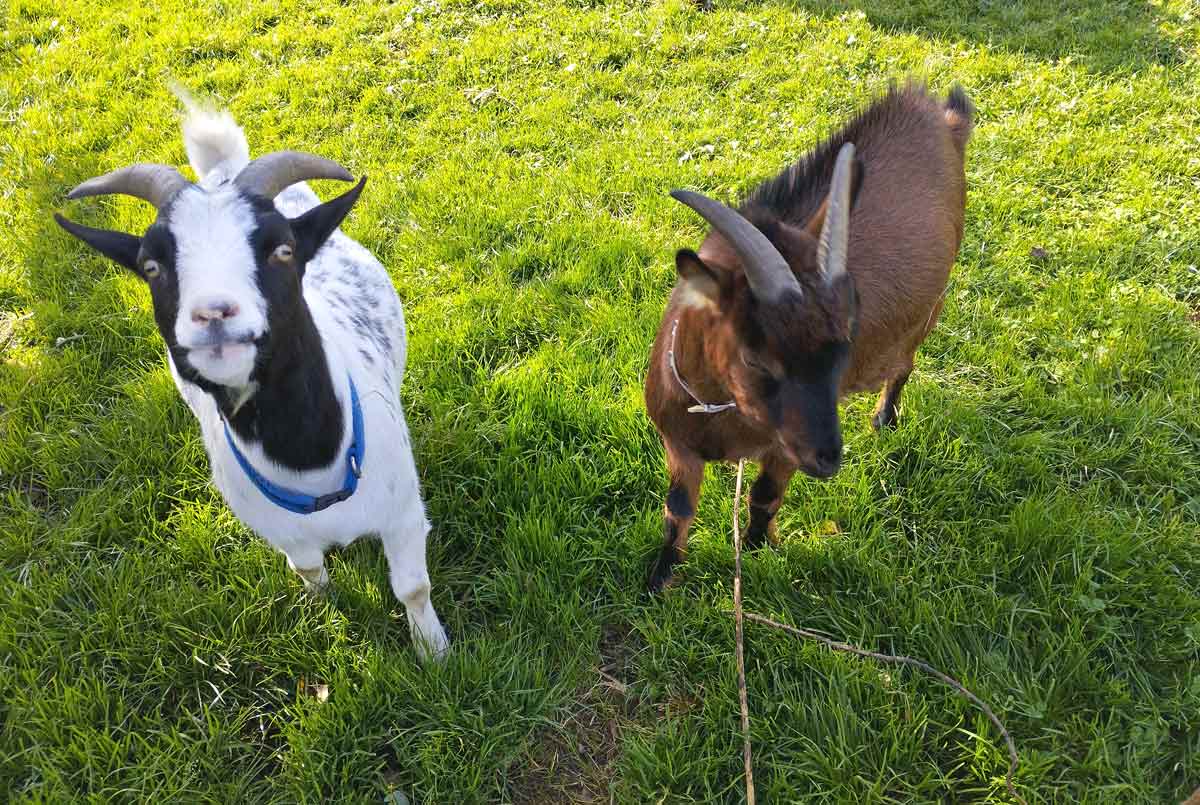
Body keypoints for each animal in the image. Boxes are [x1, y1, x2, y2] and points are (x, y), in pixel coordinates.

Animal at [55, 100, 449, 660]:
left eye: (282, 250)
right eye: (151, 266)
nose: (213, 312)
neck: (309, 463)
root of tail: (220, 171)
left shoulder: (403, 514)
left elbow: (413, 588)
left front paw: (434, 653)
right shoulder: (285, 535)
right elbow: (310, 572)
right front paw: (330, 612)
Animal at [644, 83, 974, 591]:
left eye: (845, 342)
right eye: (756, 358)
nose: (829, 458)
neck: (721, 420)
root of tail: (943, 117)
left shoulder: (785, 448)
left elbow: (763, 496)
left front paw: (755, 551)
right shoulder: (679, 443)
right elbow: (676, 510)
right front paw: (659, 580)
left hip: (928, 313)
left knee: (904, 365)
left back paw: (885, 418)